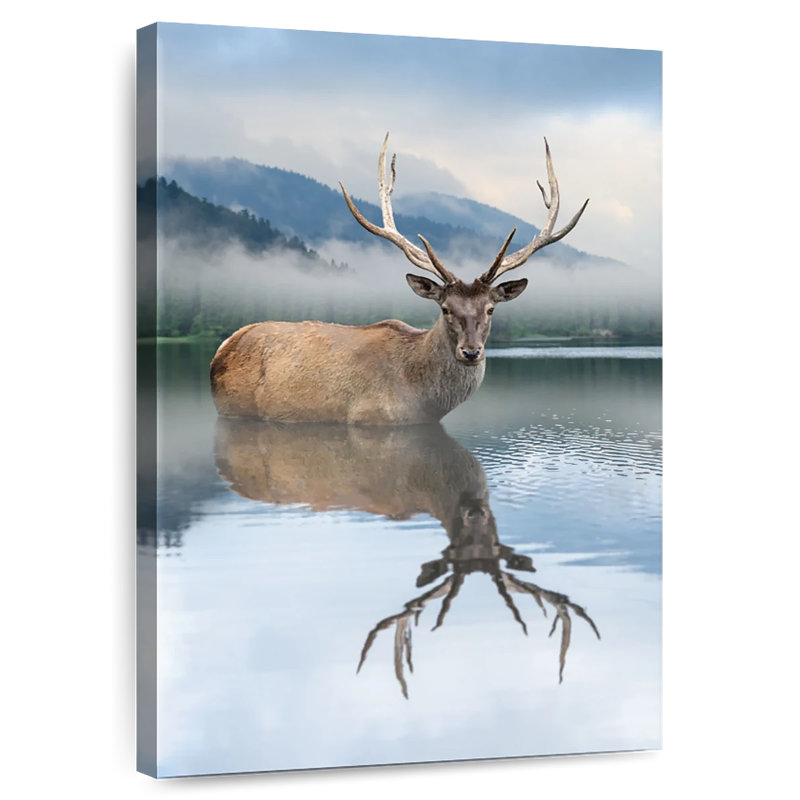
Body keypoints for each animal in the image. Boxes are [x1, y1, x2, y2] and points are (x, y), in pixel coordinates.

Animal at [210, 134, 589, 424]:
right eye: (445, 309)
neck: (423, 402)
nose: (470, 352)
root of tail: (223, 348)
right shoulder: (369, 418)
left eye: (491, 309)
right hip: (232, 407)